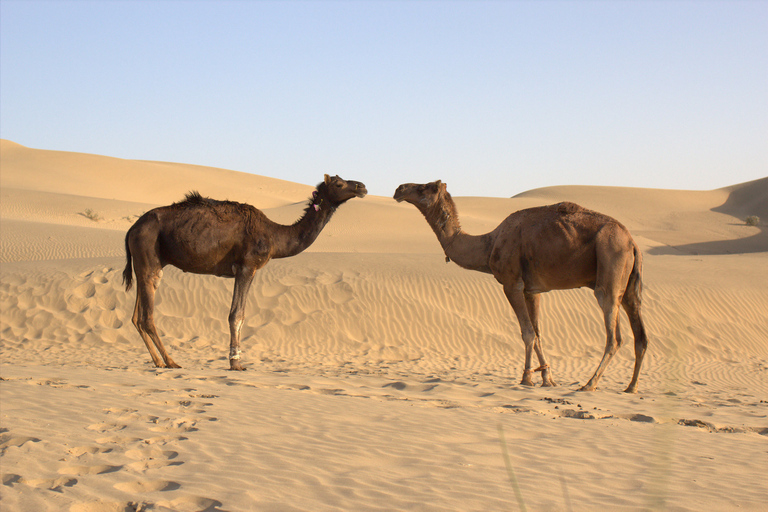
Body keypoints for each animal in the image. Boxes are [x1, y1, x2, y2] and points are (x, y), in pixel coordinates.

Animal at [122, 174, 366, 370]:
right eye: (338, 183)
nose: (362, 186)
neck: (274, 236)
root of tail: (131, 229)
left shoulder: (248, 270)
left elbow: (239, 314)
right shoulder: (247, 267)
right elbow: (236, 314)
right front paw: (236, 362)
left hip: (144, 265)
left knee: (136, 316)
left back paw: (158, 361)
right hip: (149, 255)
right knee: (147, 316)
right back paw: (171, 361)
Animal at [396, 180, 648, 392]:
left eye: (424, 187)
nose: (399, 189)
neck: (489, 244)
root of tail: (632, 242)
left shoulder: (512, 284)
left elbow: (526, 332)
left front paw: (526, 378)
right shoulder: (532, 290)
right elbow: (538, 333)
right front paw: (547, 378)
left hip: (610, 263)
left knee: (614, 336)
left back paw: (589, 384)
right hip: (629, 285)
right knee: (640, 335)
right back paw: (631, 387)